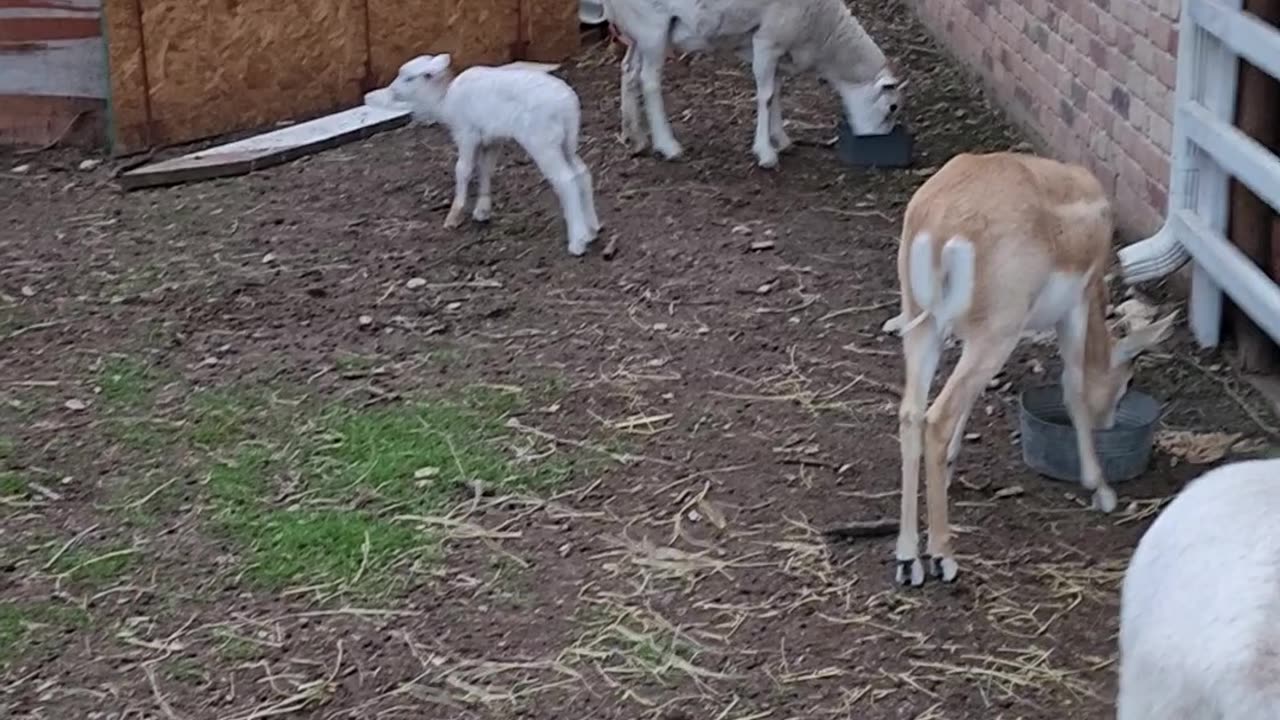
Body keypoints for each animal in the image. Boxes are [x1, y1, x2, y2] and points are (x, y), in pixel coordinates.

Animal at [386, 53, 601, 254]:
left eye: (408, 78)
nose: (391, 92)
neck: (443, 101)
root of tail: (567, 105)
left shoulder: (466, 133)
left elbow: (463, 170)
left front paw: (454, 215)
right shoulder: (492, 140)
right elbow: (485, 169)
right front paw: (482, 210)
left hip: (542, 141)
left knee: (565, 180)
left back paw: (577, 241)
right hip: (568, 140)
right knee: (581, 173)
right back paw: (592, 229)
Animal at [599, 0, 901, 166]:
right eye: (892, 108)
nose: (879, 143)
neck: (824, 32)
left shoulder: (772, 46)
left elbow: (776, 90)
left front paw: (781, 139)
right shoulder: (768, 39)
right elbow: (765, 96)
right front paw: (765, 153)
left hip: (639, 33)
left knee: (629, 70)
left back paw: (635, 136)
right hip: (653, 28)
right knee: (649, 81)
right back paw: (668, 145)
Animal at [880, 149, 1177, 584]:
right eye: (1127, 379)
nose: (1109, 423)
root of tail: (942, 223)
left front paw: (951, 467)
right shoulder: (1074, 308)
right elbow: (1073, 389)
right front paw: (1100, 489)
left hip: (925, 324)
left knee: (911, 413)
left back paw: (907, 560)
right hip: (993, 334)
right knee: (936, 418)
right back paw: (942, 557)